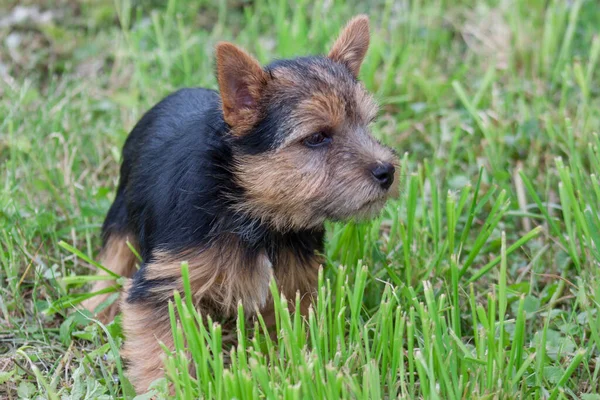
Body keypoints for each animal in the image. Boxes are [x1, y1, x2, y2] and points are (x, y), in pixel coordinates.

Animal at [81, 14, 398, 390]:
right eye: (317, 138)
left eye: (366, 125)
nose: (387, 171)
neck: (254, 212)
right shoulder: (164, 282)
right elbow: (160, 349)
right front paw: (167, 388)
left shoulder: (296, 283)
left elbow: (293, 330)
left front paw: (297, 368)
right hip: (123, 211)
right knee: (114, 257)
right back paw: (99, 306)